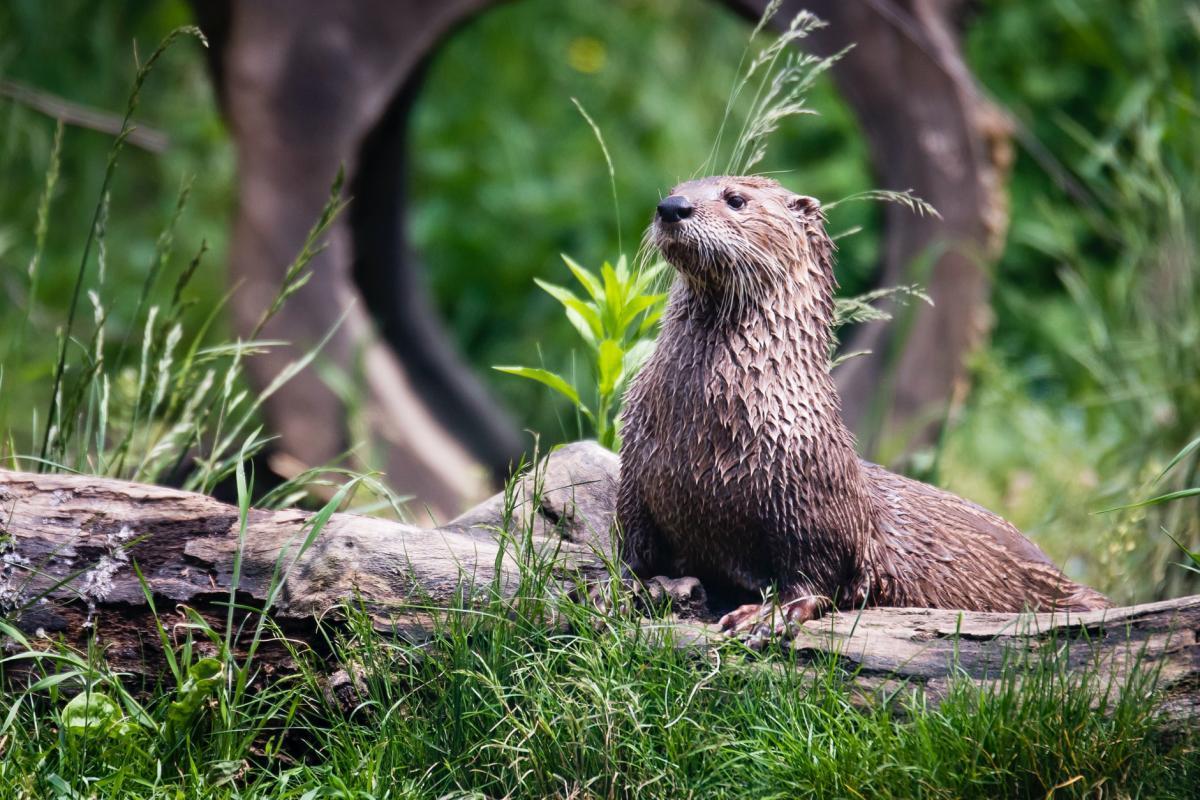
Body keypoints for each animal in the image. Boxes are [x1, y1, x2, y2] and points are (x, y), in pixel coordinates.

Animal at [619, 173, 1113, 633]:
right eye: (677, 187)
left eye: (736, 199)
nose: (672, 207)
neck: (704, 431)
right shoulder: (635, 474)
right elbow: (632, 549)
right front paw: (620, 591)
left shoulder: (812, 498)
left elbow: (817, 574)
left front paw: (767, 615)